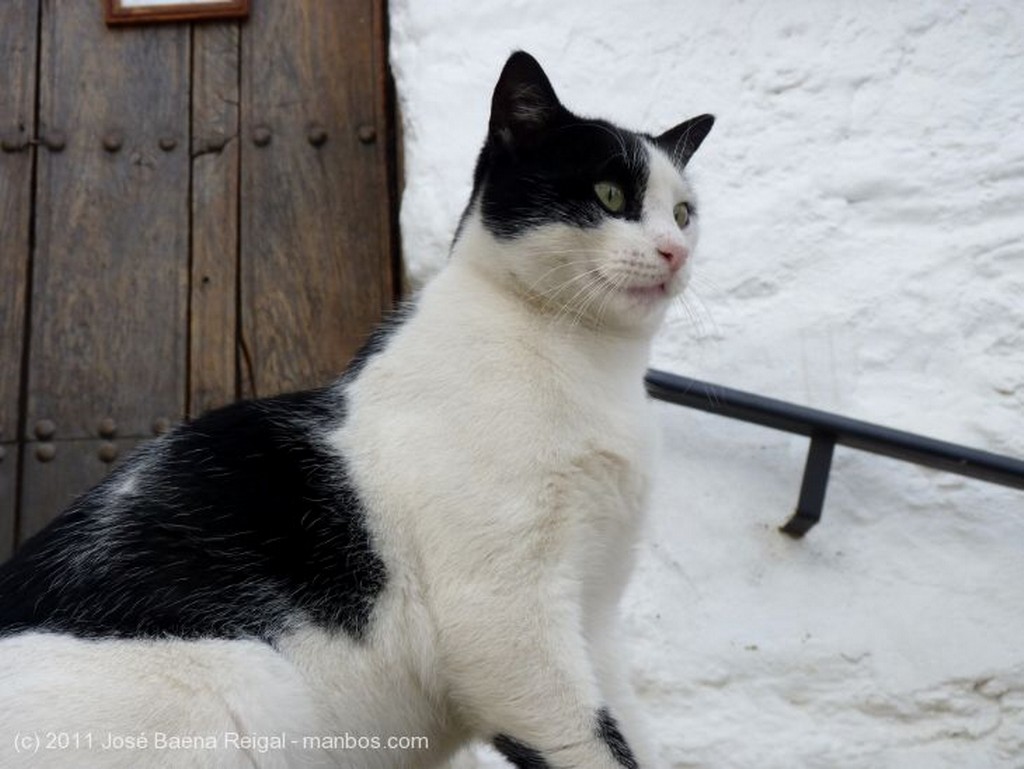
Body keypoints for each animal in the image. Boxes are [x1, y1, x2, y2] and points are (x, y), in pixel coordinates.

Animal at [0, 51, 712, 765]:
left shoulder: (596, 616)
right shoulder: (504, 618)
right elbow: (589, 740)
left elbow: (630, 730)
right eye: (611, 196)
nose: (676, 252)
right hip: (242, 678)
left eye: (683, 213)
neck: (593, 369)